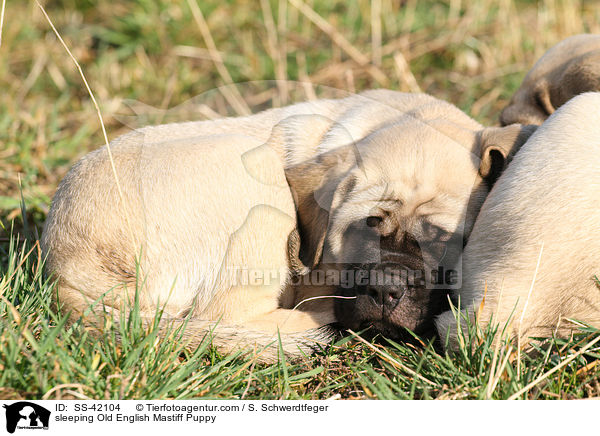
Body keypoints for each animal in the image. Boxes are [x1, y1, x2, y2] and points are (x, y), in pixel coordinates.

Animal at [41, 88, 536, 362]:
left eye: (440, 239)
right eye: (364, 226)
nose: (383, 288)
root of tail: (70, 276)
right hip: (255, 180)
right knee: (226, 314)